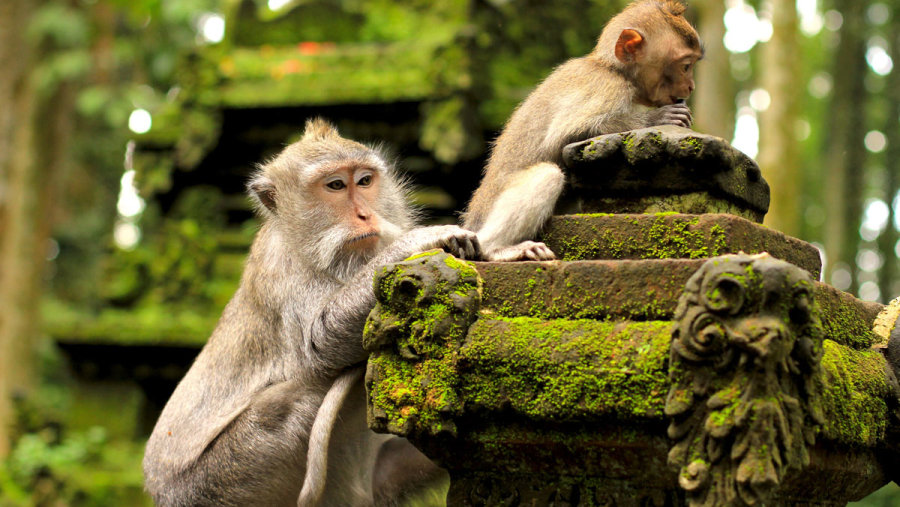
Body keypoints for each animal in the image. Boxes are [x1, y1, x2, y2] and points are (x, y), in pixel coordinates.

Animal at [143, 120, 474, 507]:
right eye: (335, 186)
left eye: (364, 181)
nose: (365, 215)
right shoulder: (282, 268)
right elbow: (319, 345)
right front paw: (418, 241)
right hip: (222, 478)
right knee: (296, 397)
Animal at [464, 0, 704, 262]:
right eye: (685, 66)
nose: (691, 86)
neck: (613, 68)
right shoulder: (607, 87)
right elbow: (564, 136)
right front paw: (656, 117)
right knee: (548, 174)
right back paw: (495, 249)